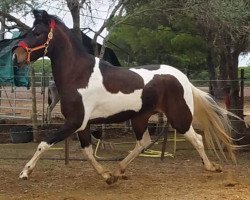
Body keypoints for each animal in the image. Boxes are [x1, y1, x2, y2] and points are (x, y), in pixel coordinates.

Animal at [13, 9, 236, 184]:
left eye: (38, 32)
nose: (17, 56)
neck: (79, 75)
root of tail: (184, 79)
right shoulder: (82, 124)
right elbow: (87, 151)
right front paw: (107, 176)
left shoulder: (75, 121)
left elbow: (44, 143)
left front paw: (25, 172)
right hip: (140, 118)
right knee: (143, 142)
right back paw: (119, 170)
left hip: (179, 117)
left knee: (196, 138)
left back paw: (212, 167)